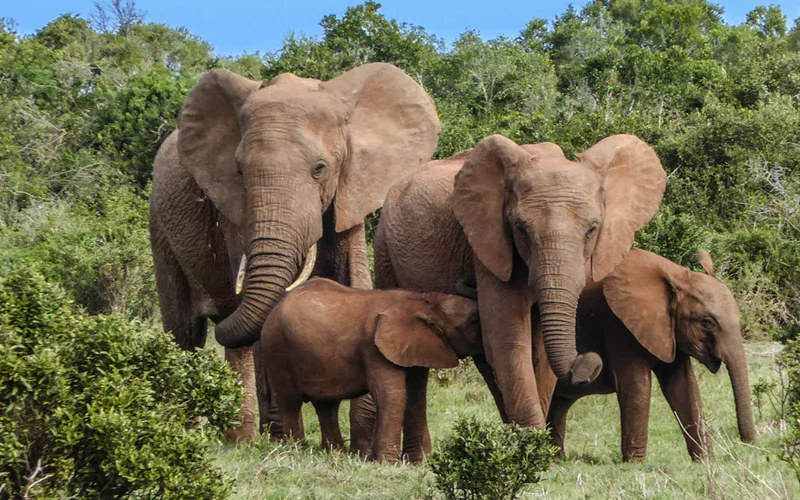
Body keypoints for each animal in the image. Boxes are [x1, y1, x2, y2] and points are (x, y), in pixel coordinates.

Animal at [149, 63, 440, 441]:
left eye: (320, 169)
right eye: (239, 171)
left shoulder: (350, 190)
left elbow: (355, 279)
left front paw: (362, 439)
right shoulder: (233, 210)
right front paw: (282, 436)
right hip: (159, 224)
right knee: (185, 332)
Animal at [262, 278, 482, 462]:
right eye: (473, 320)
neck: (424, 299)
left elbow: (416, 396)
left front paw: (420, 462)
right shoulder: (373, 346)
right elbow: (392, 394)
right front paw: (386, 463)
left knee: (326, 405)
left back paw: (335, 454)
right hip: (276, 348)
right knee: (290, 402)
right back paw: (295, 451)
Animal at [359, 134, 666, 453]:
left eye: (592, 230)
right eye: (521, 229)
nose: (589, 361)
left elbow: (539, 352)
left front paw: (534, 451)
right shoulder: (490, 246)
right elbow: (509, 340)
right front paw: (533, 450)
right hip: (384, 250)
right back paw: (419, 457)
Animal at [543, 249, 756, 462]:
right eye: (707, 323)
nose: (746, 443)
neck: (678, 275)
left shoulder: (668, 332)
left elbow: (683, 386)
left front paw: (705, 461)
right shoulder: (617, 324)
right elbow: (637, 387)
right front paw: (635, 464)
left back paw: (556, 458)